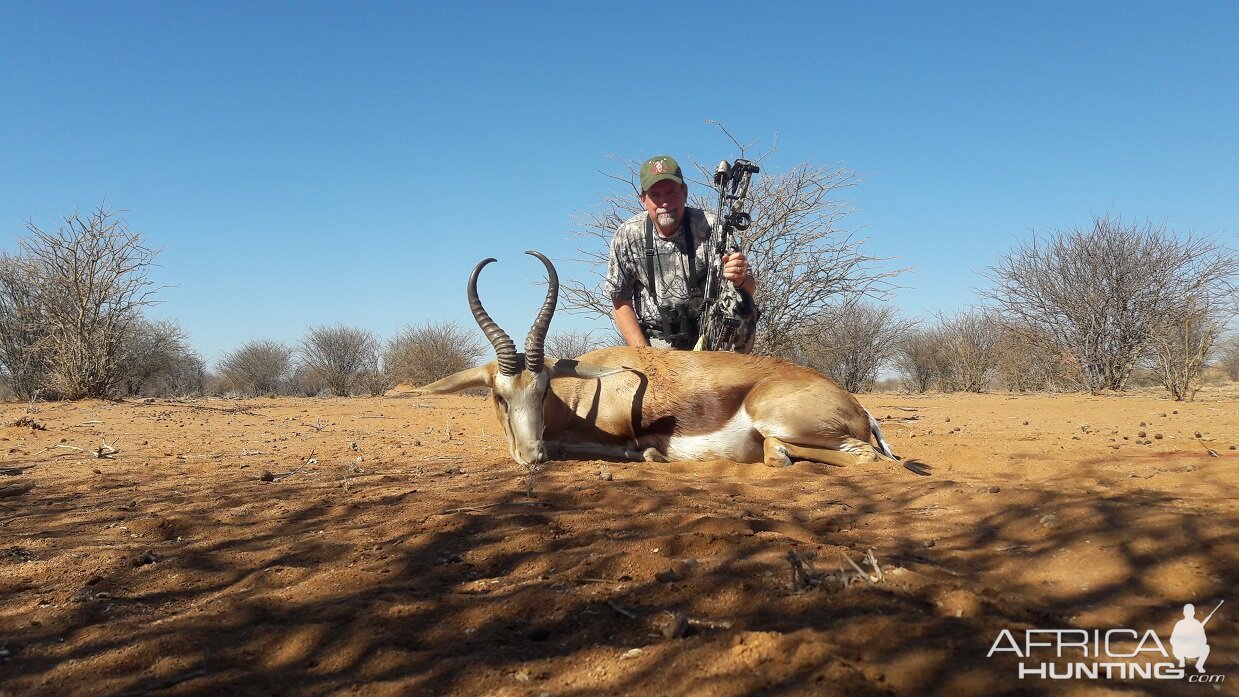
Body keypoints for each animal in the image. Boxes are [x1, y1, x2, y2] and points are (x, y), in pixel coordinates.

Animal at [421, 252, 916, 475]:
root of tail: (857, 406)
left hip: (781, 419)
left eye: (542, 391)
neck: (584, 395)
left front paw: (651, 454)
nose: (530, 456)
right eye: (499, 397)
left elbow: (597, 447)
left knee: (867, 457)